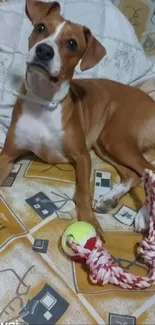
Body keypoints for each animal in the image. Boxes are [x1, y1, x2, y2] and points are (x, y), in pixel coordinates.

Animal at [0, 0, 155, 238]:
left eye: (72, 43)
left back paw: (143, 215)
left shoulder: (82, 156)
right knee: (134, 175)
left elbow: (82, 193)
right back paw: (109, 199)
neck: (44, 101)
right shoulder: (8, 154)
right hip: (104, 144)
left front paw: (90, 223)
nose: (44, 50)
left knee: (149, 171)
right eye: (41, 27)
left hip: (116, 139)